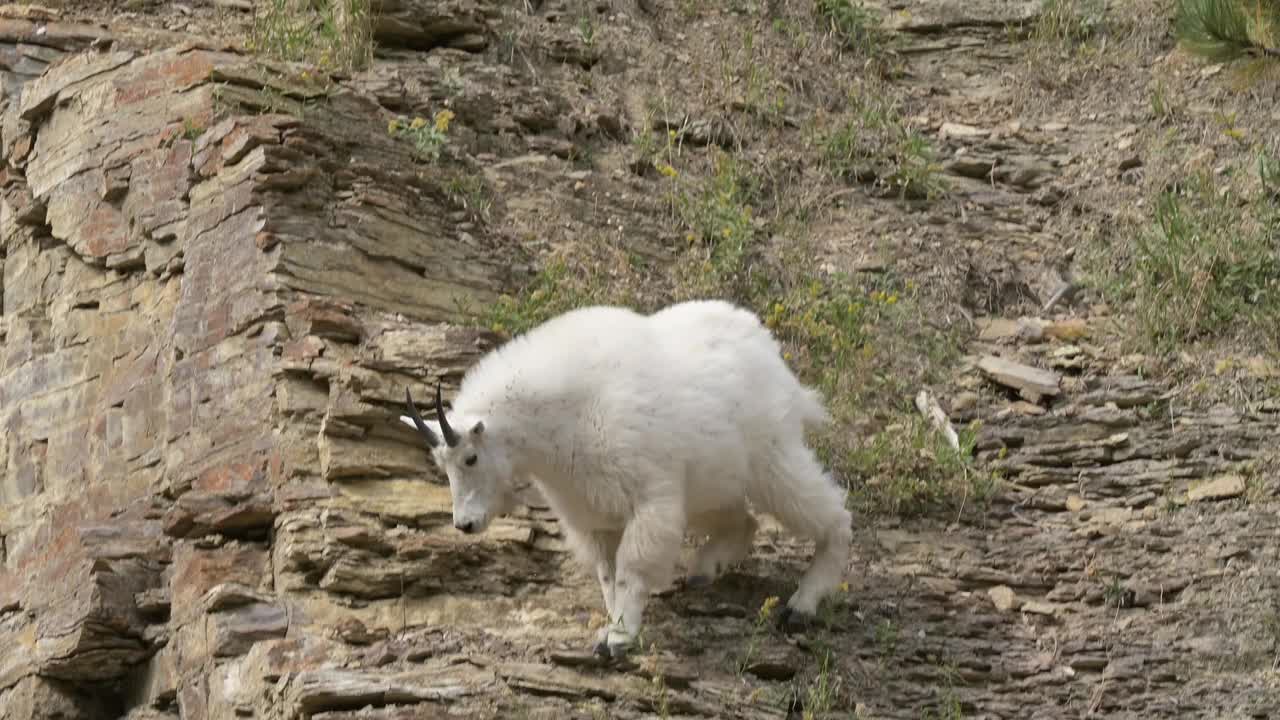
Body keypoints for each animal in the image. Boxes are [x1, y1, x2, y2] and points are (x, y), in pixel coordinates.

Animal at [399, 297, 855, 655]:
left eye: (471, 458)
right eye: (442, 465)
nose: (465, 524)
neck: (561, 416)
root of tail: (773, 355)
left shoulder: (649, 498)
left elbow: (631, 567)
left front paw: (618, 639)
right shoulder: (593, 515)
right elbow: (606, 574)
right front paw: (612, 627)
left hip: (772, 459)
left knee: (830, 511)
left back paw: (802, 602)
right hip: (711, 482)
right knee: (743, 520)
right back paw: (705, 570)